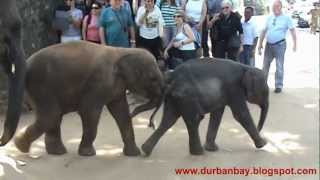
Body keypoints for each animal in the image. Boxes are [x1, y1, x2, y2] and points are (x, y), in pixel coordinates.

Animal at [12, 41, 164, 156]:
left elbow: (121, 113)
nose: (151, 125)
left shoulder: (116, 88)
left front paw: (134, 153)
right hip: (41, 87)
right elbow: (89, 112)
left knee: (53, 117)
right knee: (51, 116)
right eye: (153, 79)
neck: (123, 51)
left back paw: (55, 152)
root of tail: (26, 64)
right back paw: (20, 145)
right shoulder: (98, 83)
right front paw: (88, 153)